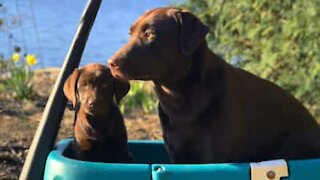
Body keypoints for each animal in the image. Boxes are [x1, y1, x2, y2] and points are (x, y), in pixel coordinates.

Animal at [109, 8, 320, 163]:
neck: (180, 98)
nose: (111, 63)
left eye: (150, 34)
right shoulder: (178, 156)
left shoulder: (215, 157)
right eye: (130, 33)